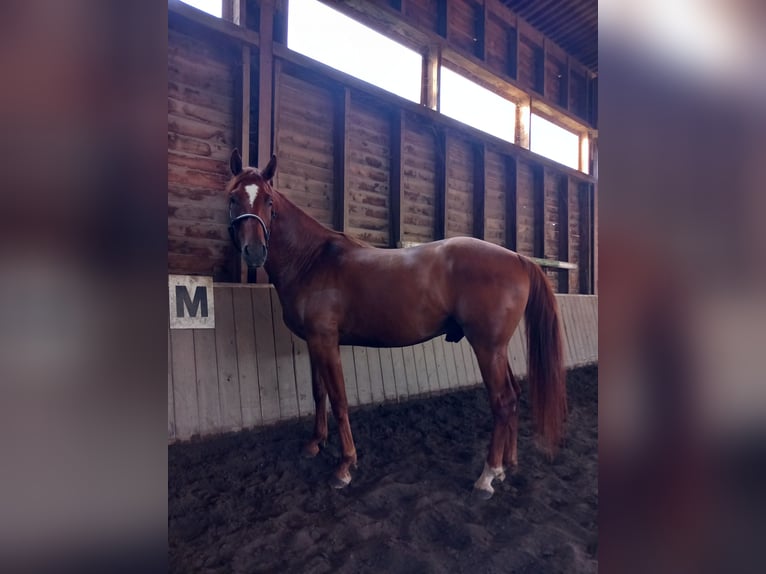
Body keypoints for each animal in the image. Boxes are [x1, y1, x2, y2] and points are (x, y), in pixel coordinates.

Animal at [225, 151, 568, 502]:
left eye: (268, 200)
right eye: (234, 198)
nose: (255, 252)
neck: (311, 260)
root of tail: (517, 258)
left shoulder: (326, 342)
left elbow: (339, 400)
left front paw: (345, 466)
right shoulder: (313, 343)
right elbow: (319, 394)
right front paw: (314, 444)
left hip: (486, 348)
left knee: (503, 402)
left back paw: (486, 477)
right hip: (497, 349)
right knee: (513, 397)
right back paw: (505, 467)